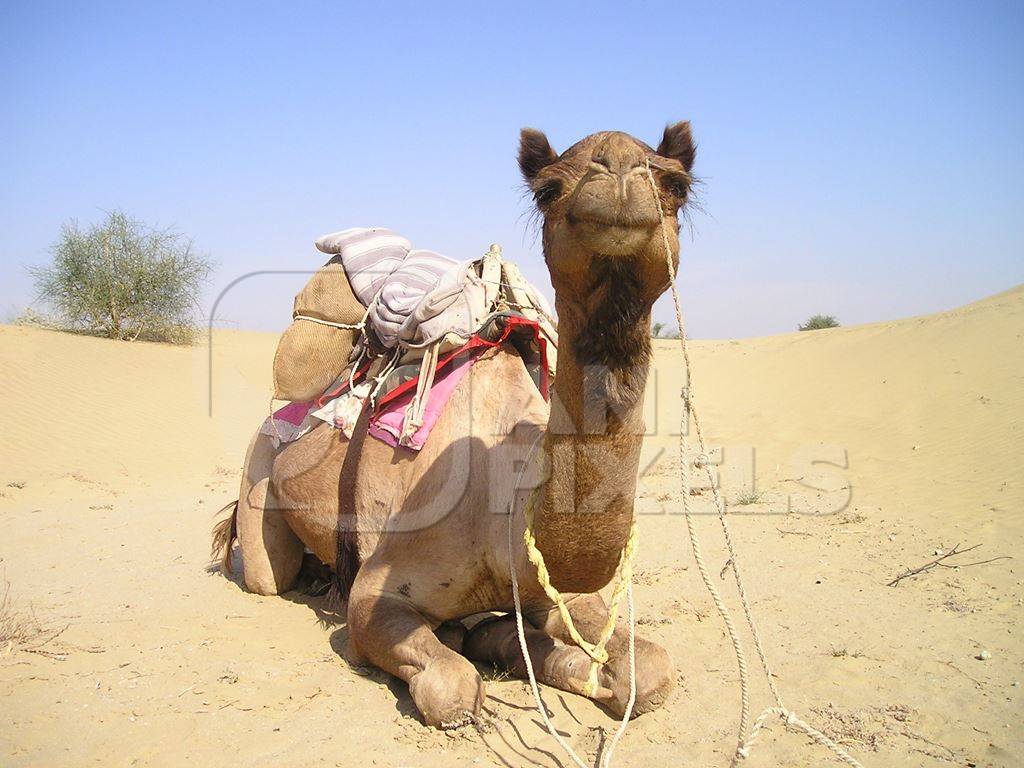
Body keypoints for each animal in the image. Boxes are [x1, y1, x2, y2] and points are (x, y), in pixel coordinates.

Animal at [215, 123, 696, 729]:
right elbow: (452, 688)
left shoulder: (554, 592)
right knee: (268, 574)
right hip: (258, 469)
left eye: (676, 183)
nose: (619, 170)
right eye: (547, 190)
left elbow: (650, 668)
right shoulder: (378, 592)